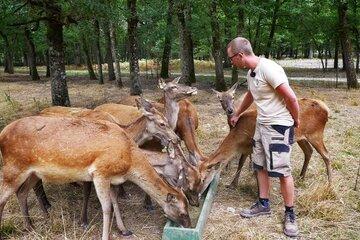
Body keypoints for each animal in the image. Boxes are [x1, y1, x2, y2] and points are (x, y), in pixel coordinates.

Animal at [0, 114, 191, 240]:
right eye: (183, 211)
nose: (188, 225)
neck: (129, 161)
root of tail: (2, 134)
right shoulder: (100, 172)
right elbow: (106, 207)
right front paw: (105, 236)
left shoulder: (113, 179)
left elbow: (115, 202)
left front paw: (124, 230)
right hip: (13, 167)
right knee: (3, 196)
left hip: (33, 172)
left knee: (21, 192)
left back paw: (31, 226)